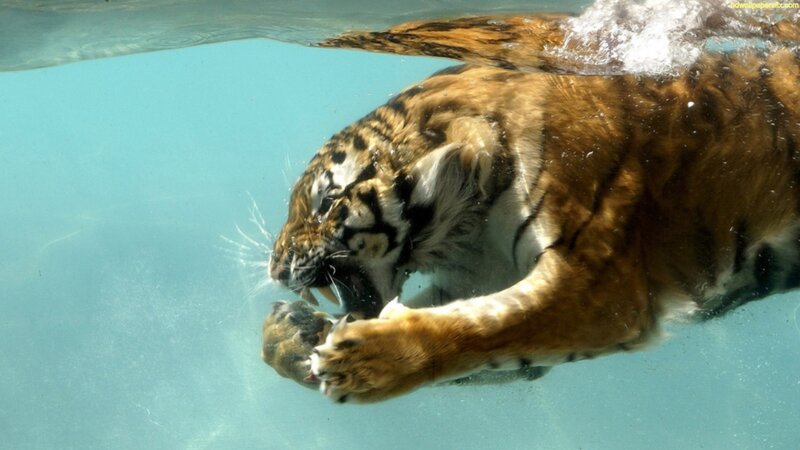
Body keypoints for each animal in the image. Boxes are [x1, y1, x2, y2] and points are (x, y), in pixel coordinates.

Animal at [260, 16, 800, 403]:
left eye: (326, 202)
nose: (275, 267)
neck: (470, 218)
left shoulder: (599, 289)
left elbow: (485, 327)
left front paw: (362, 364)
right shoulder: (483, 273)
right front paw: (288, 337)